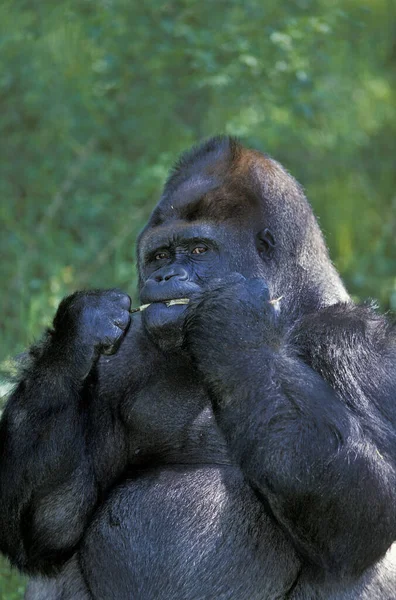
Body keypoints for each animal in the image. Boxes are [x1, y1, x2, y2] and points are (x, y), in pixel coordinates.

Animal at [0, 137, 396, 600]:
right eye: (160, 255)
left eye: (199, 250)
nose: (165, 277)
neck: (292, 310)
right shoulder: (122, 359)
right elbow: (47, 526)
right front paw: (78, 331)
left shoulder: (360, 344)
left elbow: (366, 510)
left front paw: (231, 321)